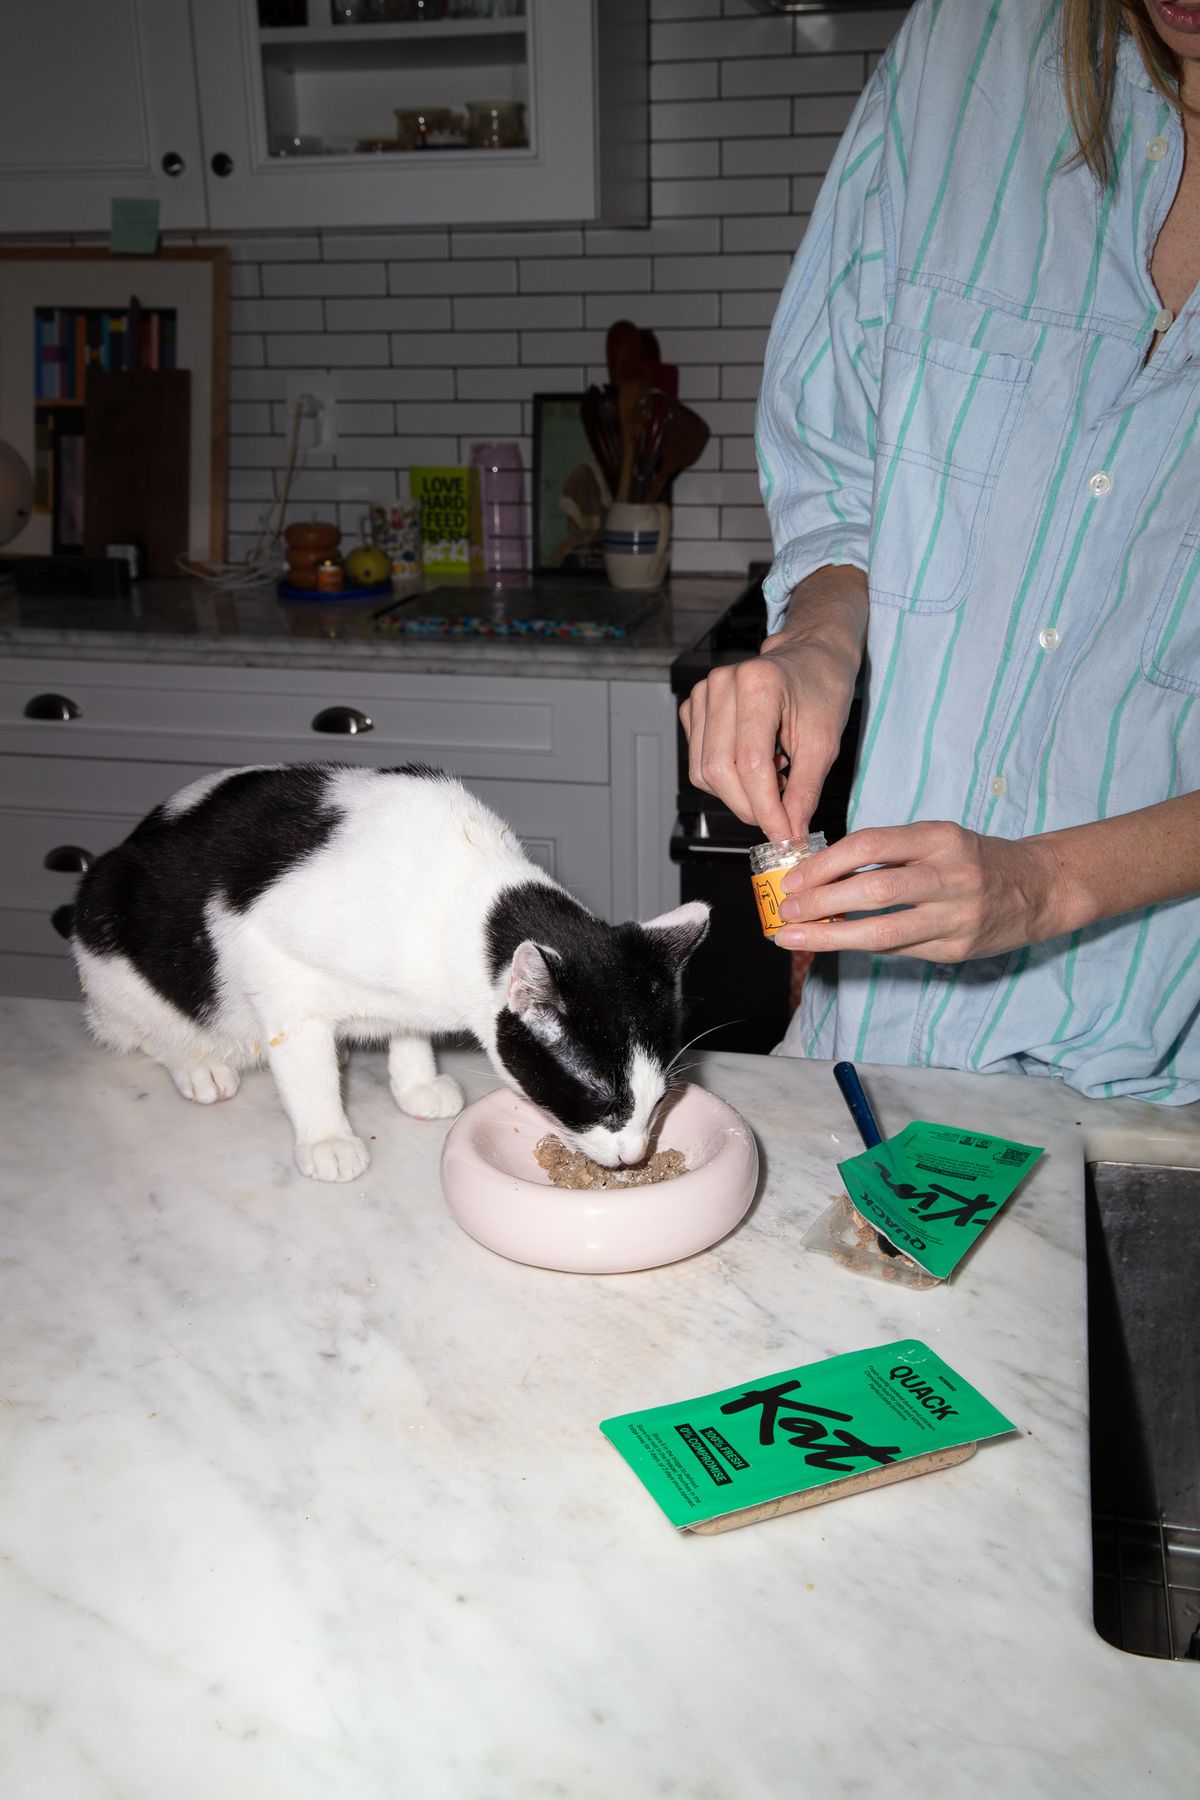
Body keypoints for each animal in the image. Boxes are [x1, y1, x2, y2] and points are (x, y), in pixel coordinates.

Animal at [56, 759, 708, 1180]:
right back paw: (200, 1065)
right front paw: (326, 1136)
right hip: (109, 930)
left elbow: (407, 1030)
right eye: (599, 1099)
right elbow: (304, 1065)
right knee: (141, 1027)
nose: (634, 1156)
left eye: (659, 1102)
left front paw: (416, 1082)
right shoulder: (275, 966)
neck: (476, 893)